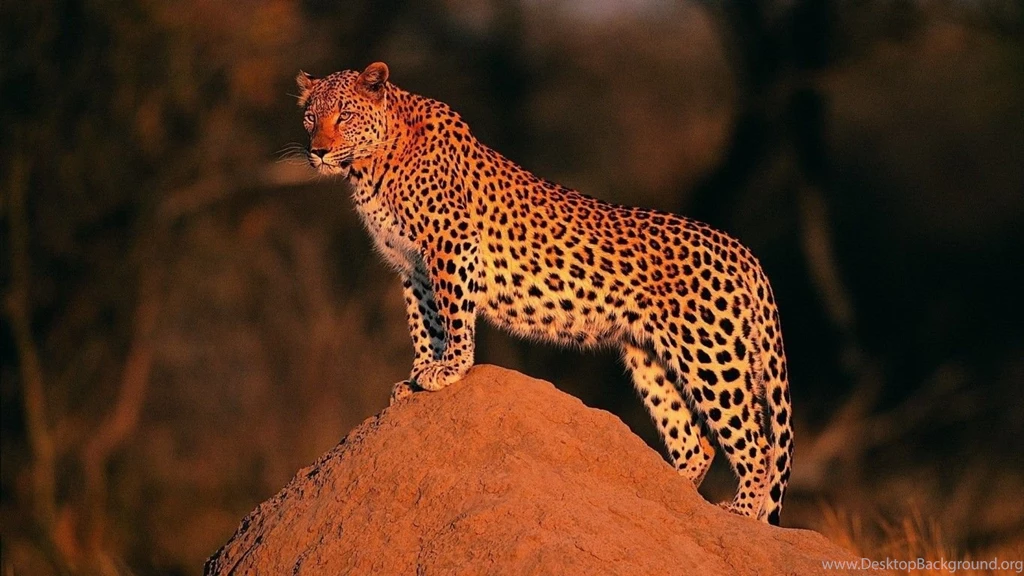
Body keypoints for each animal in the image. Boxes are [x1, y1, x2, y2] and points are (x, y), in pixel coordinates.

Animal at [296, 62, 793, 525]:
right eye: (309, 118)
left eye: (344, 115)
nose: (317, 152)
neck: (371, 166)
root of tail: (741, 250)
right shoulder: (412, 267)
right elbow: (425, 322)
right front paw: (419, 373)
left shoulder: (452, 244)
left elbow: (453, 315)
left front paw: (449, 369)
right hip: (651, 356)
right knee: (696, 441)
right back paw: (667, 496)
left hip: (711, 354)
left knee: (757, 443)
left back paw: (740, 511)